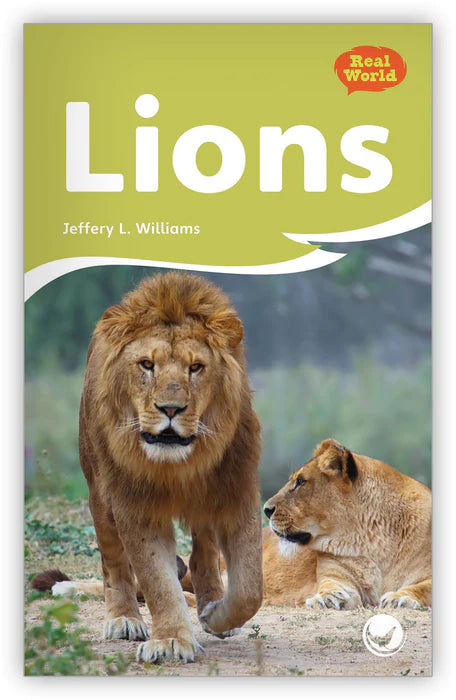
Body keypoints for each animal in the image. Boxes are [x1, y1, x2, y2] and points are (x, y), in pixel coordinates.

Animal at [76, 272, 263, 663]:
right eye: (147, 365)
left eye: (196, 367)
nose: (171, 409)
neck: (178, 466)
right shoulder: (136, 506)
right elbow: (156, 581)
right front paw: (173, 640)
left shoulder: (238, 491)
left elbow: (250, 586)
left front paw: (216, 616)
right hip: (99, 494)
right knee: (113, 562)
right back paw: (124, 619)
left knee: (204, 552)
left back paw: (211, 603)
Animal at [262, 439, 431, 610]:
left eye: (301, 481)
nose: (266, 510)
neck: (375, 544)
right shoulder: (334, 573)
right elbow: (333, 586)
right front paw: (327, 598)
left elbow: (423, 588)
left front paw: (398, 598)